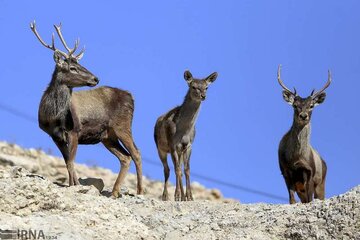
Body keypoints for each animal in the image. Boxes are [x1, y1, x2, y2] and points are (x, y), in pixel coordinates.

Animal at [29, 21, 142, 197]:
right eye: (72, 68)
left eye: (80, 64)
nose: (95, 78)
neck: (53, 116)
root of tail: (131, 96)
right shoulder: (54, 136)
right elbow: (68, 162)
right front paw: (73, 184)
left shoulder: (75, 130)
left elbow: (71, 162)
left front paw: (74, 186)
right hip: (107, 136)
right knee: (125, 157)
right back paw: (114, 192)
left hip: (123, 125)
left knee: (136, 153)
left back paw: (139, 191)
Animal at [154, 70, 217, 202]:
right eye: (193, 86)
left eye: (207, 87)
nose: (203, 96)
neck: (183, 130)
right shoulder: (172, 144)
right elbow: (177, 169)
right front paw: (177, 195)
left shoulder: (189, 145)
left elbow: (187, 170)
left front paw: (190, 196)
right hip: (160, 148)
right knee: (167, 169)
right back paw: (166, 195)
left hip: (180, 151)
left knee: (179, 170)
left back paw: (183, 196)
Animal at [278, 64, 330, 203]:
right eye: (295, 105)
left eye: (311, 105)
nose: (303, 116)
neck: (296, 158)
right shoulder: (285, 170)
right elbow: (292, 200)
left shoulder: (310, 171)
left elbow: (310, 199)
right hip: (300, 186)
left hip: (321, 182)